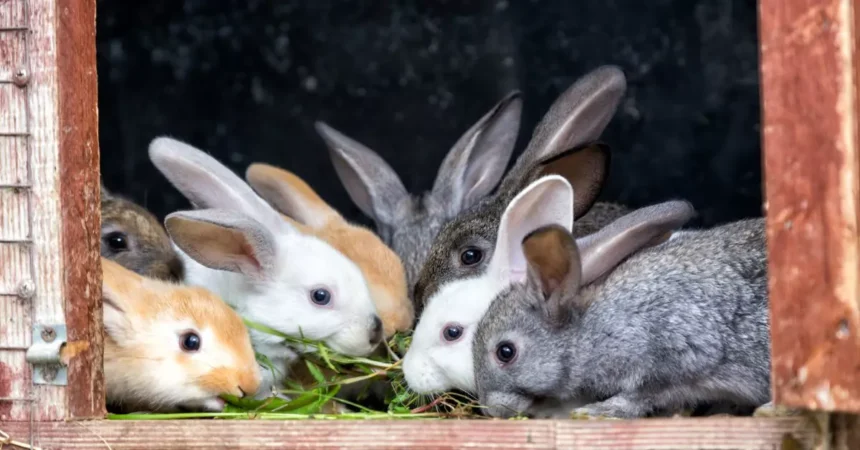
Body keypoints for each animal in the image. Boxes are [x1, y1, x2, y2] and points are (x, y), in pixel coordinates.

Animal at [473, 203, 770, 419]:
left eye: (506, 352)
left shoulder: (670, 358)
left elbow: (639, 397)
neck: (588, 329)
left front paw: (597, 411)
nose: (491, 410)